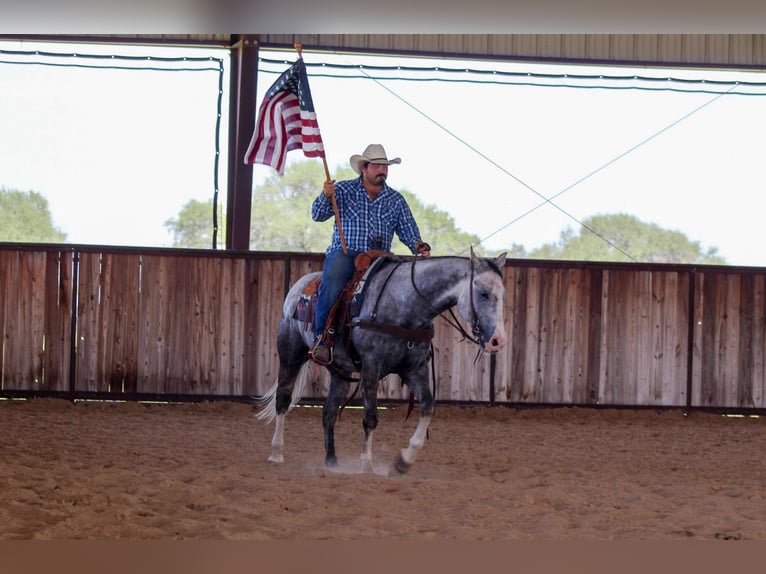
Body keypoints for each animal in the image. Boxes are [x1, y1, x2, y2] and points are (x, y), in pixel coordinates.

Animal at [256, 249, 508, 474]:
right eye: (483, 293)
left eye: (503, 294)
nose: (498, 341)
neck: (404, 305)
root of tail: (299, 287)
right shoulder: (371, 366)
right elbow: (370, 417)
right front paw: (366, 464)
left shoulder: (414, 368)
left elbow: (428, 405)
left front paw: (404, 460)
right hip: (290, 354)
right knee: (283, 400)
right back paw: (276, 453)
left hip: (339, 371)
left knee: (328, 412)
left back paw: (332, 461)